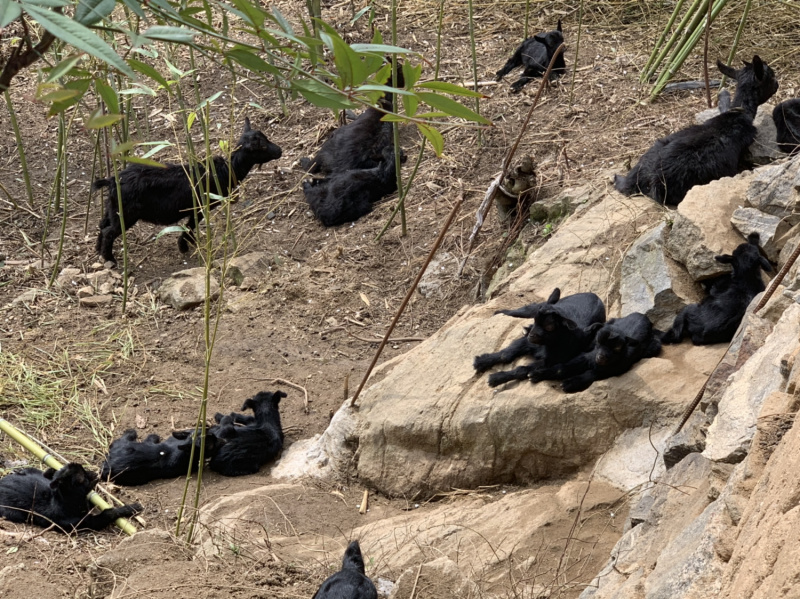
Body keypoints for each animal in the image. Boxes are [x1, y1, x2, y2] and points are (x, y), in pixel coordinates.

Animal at [95, 118, 282, 264]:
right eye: (262, 147)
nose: (280, 150)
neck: (226, 171)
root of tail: (111, 181)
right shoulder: (200, 207)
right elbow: (190, 226)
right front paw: (184, 246)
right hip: (126, 214)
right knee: (108, 231)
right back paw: (110, 259)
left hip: (112, 208)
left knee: (102, 224)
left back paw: (98, 250)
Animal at [476, 290, 608, 390]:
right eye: (535, 320)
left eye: (549, 326)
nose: (531, 336)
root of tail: (594, 295)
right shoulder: (527, 343)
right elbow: (505, 354)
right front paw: (481, 361)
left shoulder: (550, 361)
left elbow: (522, 370)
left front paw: (495, 379)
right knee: (527, 309)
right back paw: (499, 313)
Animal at [532, 314, 664, 394]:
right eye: (598, 340)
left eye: (617, 347)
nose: (601, 357)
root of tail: (643, 316)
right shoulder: (586, 357)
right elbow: (562, 368)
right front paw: (537, 374)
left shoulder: (612, 370)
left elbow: (591, 374)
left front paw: (570, 383)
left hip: (654, 347)